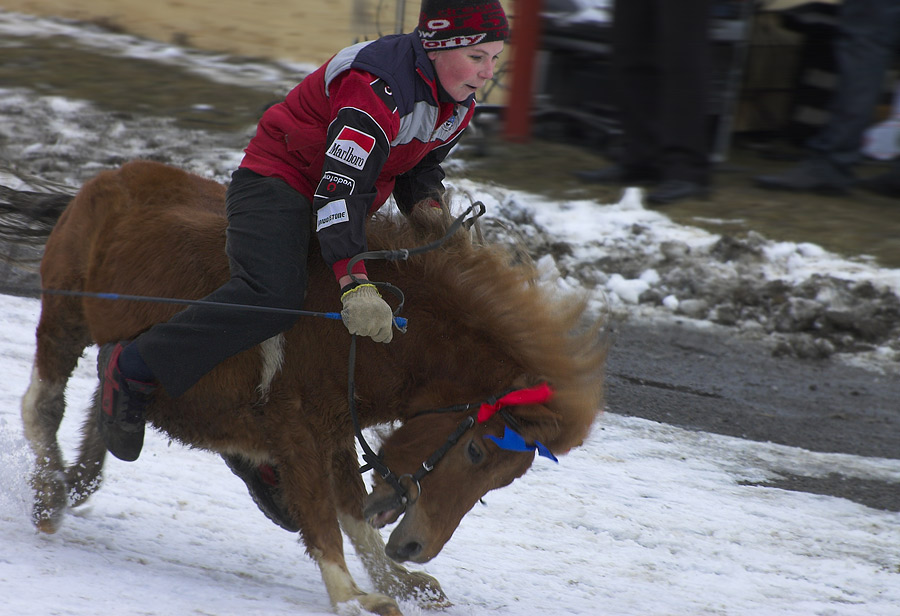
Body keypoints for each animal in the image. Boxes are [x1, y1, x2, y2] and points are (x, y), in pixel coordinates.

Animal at [17, 160, 604, 616]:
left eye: (503, 478)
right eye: (478, 451)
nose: (416, 547)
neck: (368, 336)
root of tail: (108, 179)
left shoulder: (335, 430)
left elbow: (351, 510)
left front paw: (398, 582)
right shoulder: (295, 427)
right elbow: (322, 514)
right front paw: (351, 595)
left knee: (104, 396)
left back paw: (90, 458)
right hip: (65, 315)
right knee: (42, 404)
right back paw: (48, 490)